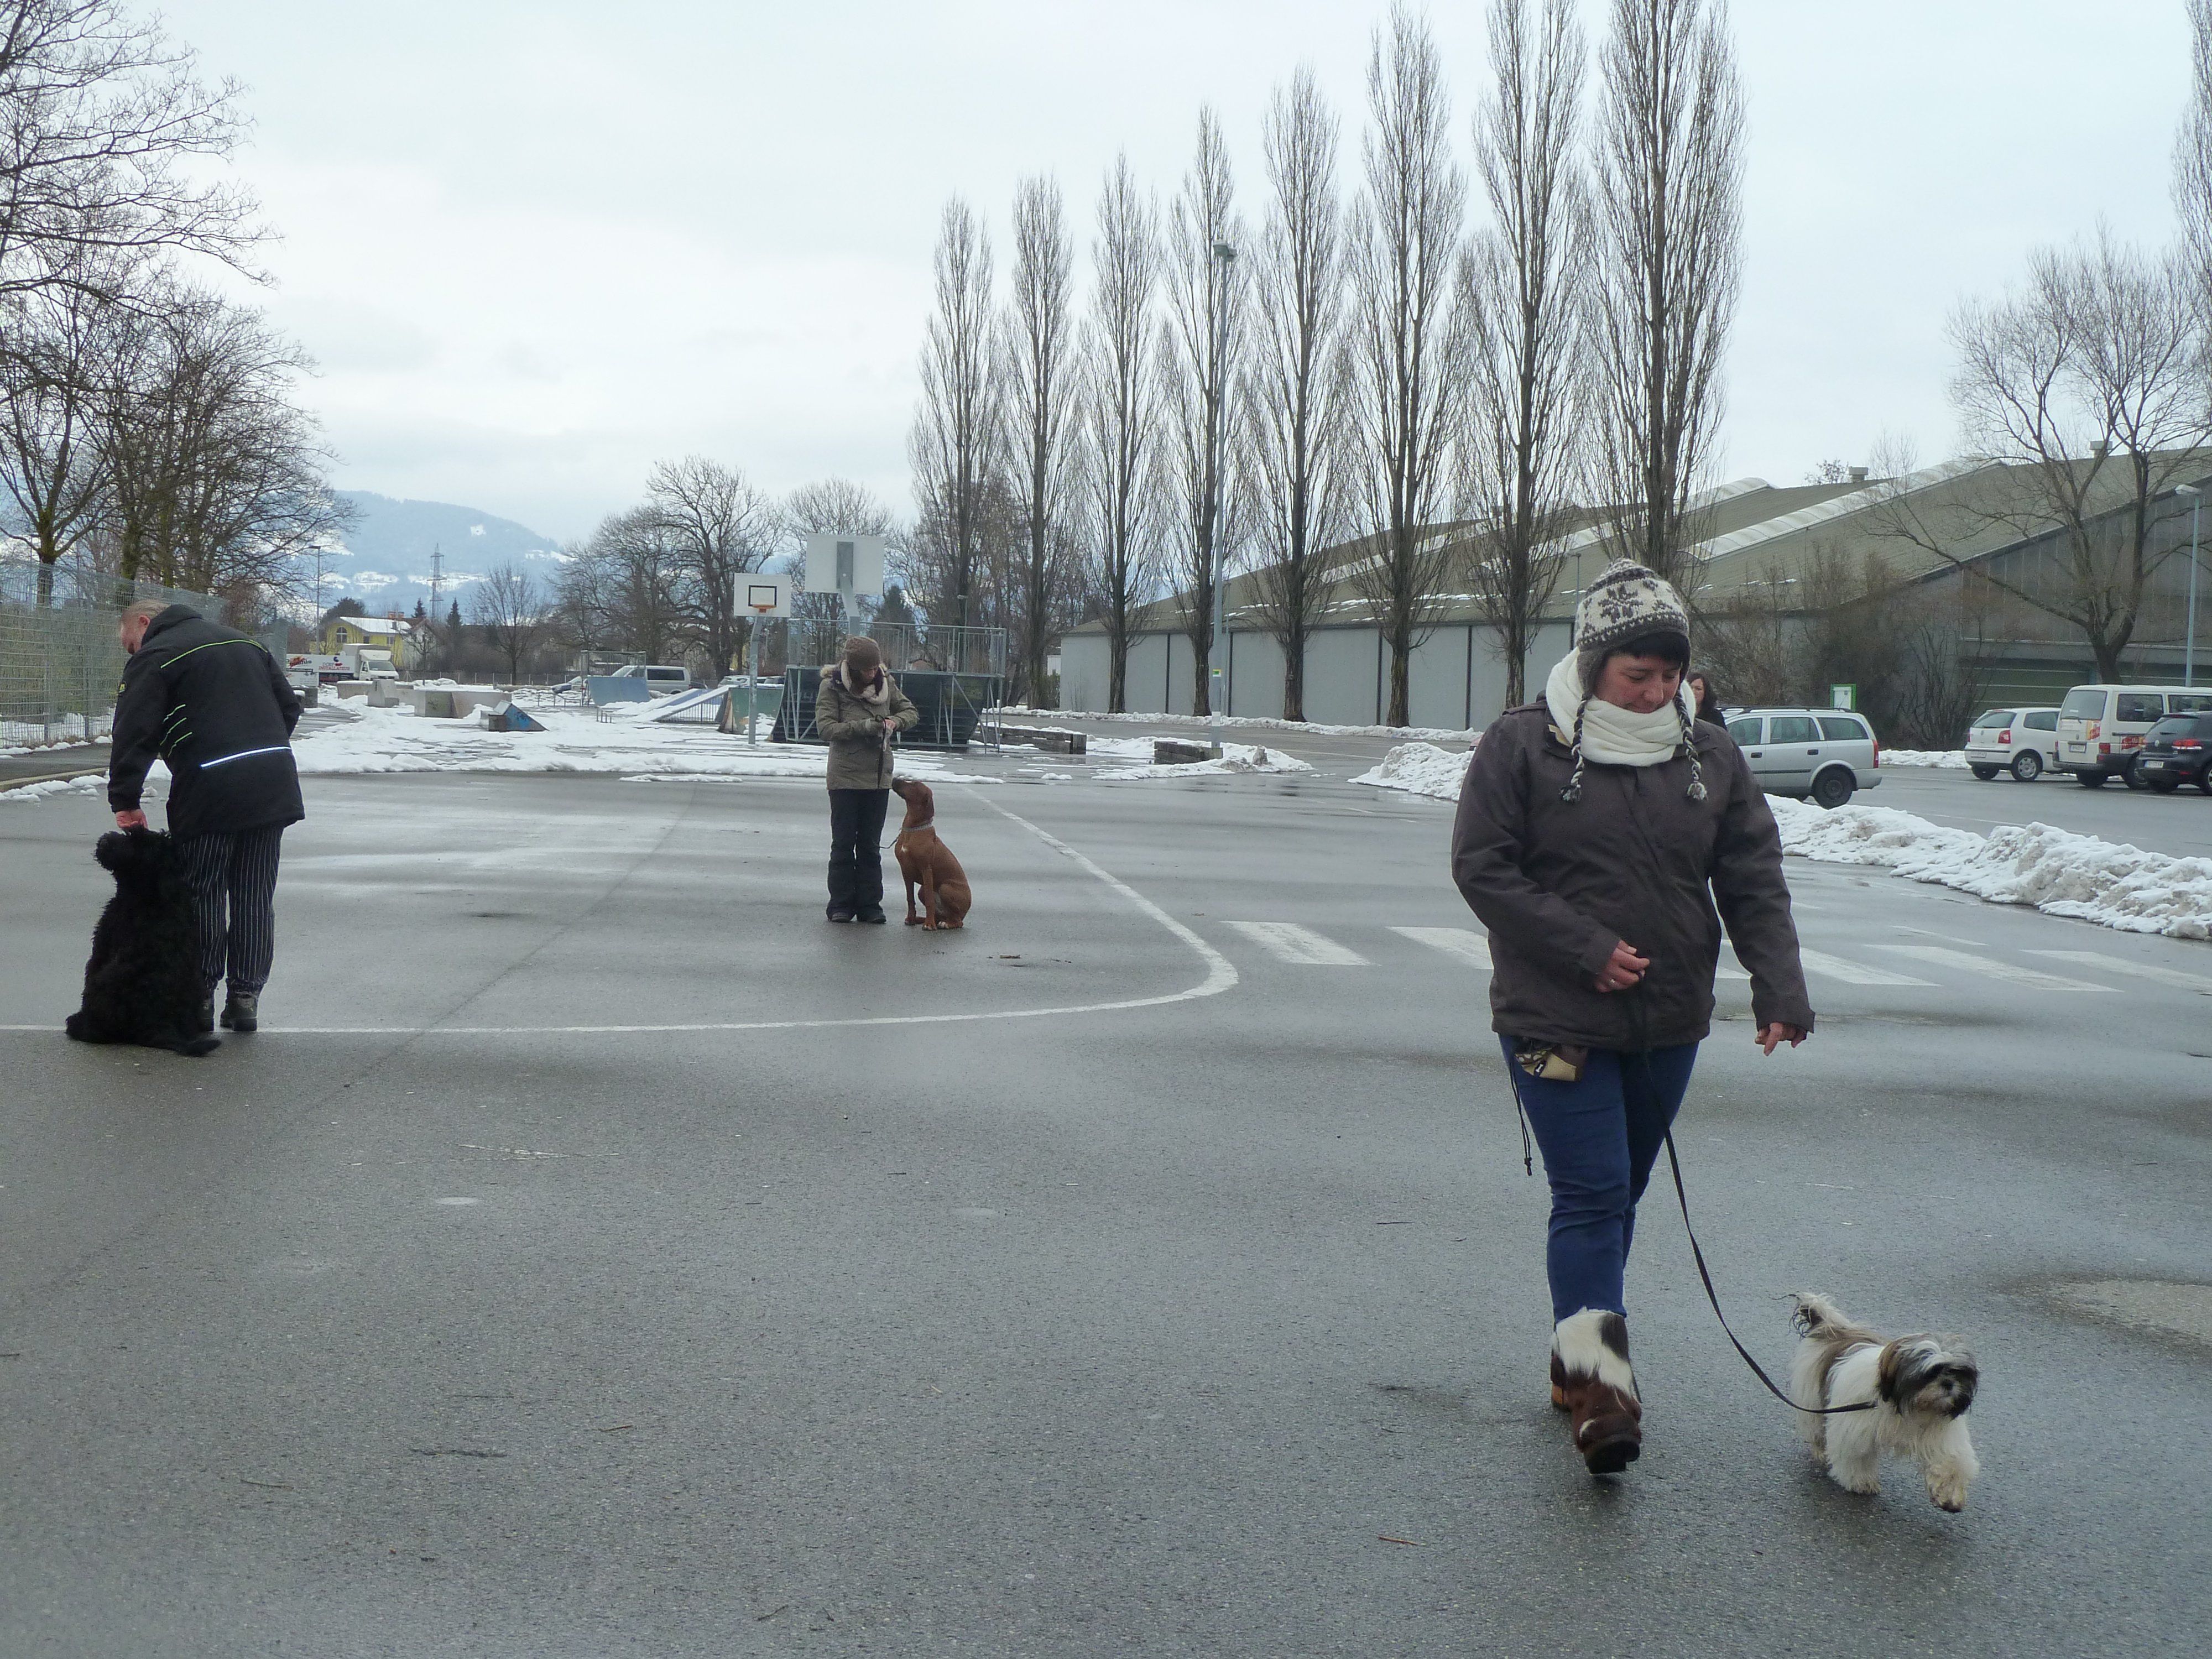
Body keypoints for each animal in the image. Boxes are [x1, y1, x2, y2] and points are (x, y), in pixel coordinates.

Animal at [65, 827, 220, 1057]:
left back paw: (77, 1025)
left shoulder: (101, 950)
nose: (107, 839)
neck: (149, 897)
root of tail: (158, 1024)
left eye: (138, 843)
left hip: (104, 983)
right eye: (132, 833)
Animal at [889, 778, 971, 931]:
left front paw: (929, 924)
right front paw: (911, 919)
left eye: (914, 784)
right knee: (940, 914)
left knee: (958, 921)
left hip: (945, 888)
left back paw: (945, 924)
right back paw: (924, 919)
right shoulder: (906, 871)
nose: (895, 778)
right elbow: (910, 898)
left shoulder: (926, 869)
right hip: (921, 890)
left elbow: (929, 901)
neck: (913, 830)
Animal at [1789, 1292, 1979, 1511]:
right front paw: (1861, 1482)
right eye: (1930, 1374)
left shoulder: (1940, 1436)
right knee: (1815, 1426)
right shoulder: (1855, 1428)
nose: (1948, 1383)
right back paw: (1820, 1449)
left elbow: (1950, 1462)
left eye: (1958, 1372)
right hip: (1811, 1396)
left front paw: (1950, 1496)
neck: (1909, 1406)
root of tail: (1830, 1327)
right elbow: (1857, 1457)